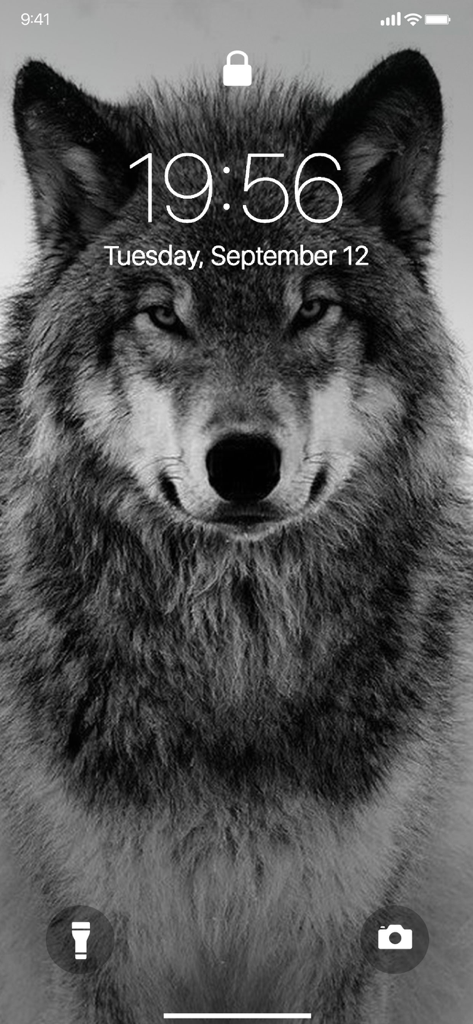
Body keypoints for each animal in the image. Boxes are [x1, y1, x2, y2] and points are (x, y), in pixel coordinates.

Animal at [0, 48, 473, 1024]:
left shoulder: (347, 936)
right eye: (163, 313)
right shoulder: (93, 941)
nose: (244, 462)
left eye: (311, 307)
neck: (235, 662)